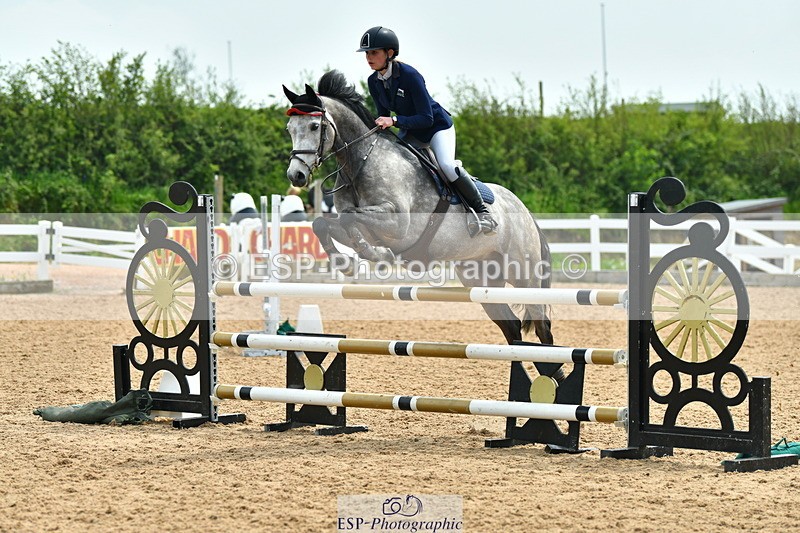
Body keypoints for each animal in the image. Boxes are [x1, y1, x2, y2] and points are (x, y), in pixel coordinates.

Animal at [282, 70, 556, 359]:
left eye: (314, 126)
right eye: (290, 129)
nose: (296, 175)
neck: (361, 164)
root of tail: (525, 212)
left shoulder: (399, 225)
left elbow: (352, 219)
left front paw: (376, 256)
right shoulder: (359, 222)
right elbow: (325, 223)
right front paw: (349, 262)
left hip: (524, 274)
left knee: (543, 327)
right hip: (482, 278)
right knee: (512, 327)